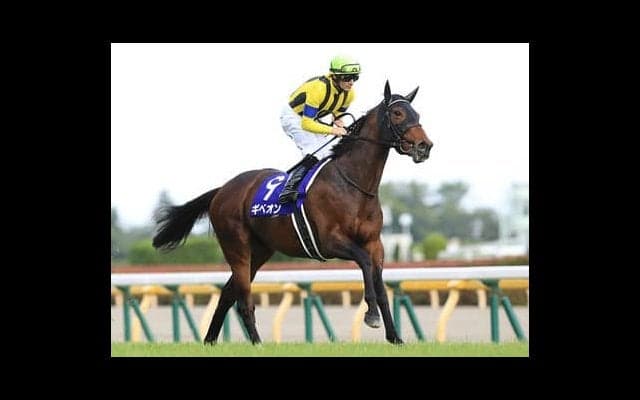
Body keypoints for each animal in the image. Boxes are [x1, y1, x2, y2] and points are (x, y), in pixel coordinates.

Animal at [152, 81, 433, 344]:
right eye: (397, 113)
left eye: (417, 113)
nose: (424, 146)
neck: (353, 183)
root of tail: (222, 190)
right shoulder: (330, 241)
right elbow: (364, 263)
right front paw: (371, 316)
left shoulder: (375, 243)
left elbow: (381, 284)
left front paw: (395, 337)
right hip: (237, 248)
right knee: (243, 299)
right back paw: (257, 343)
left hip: (260, 251)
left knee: (227, 293)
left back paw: (210, 340)